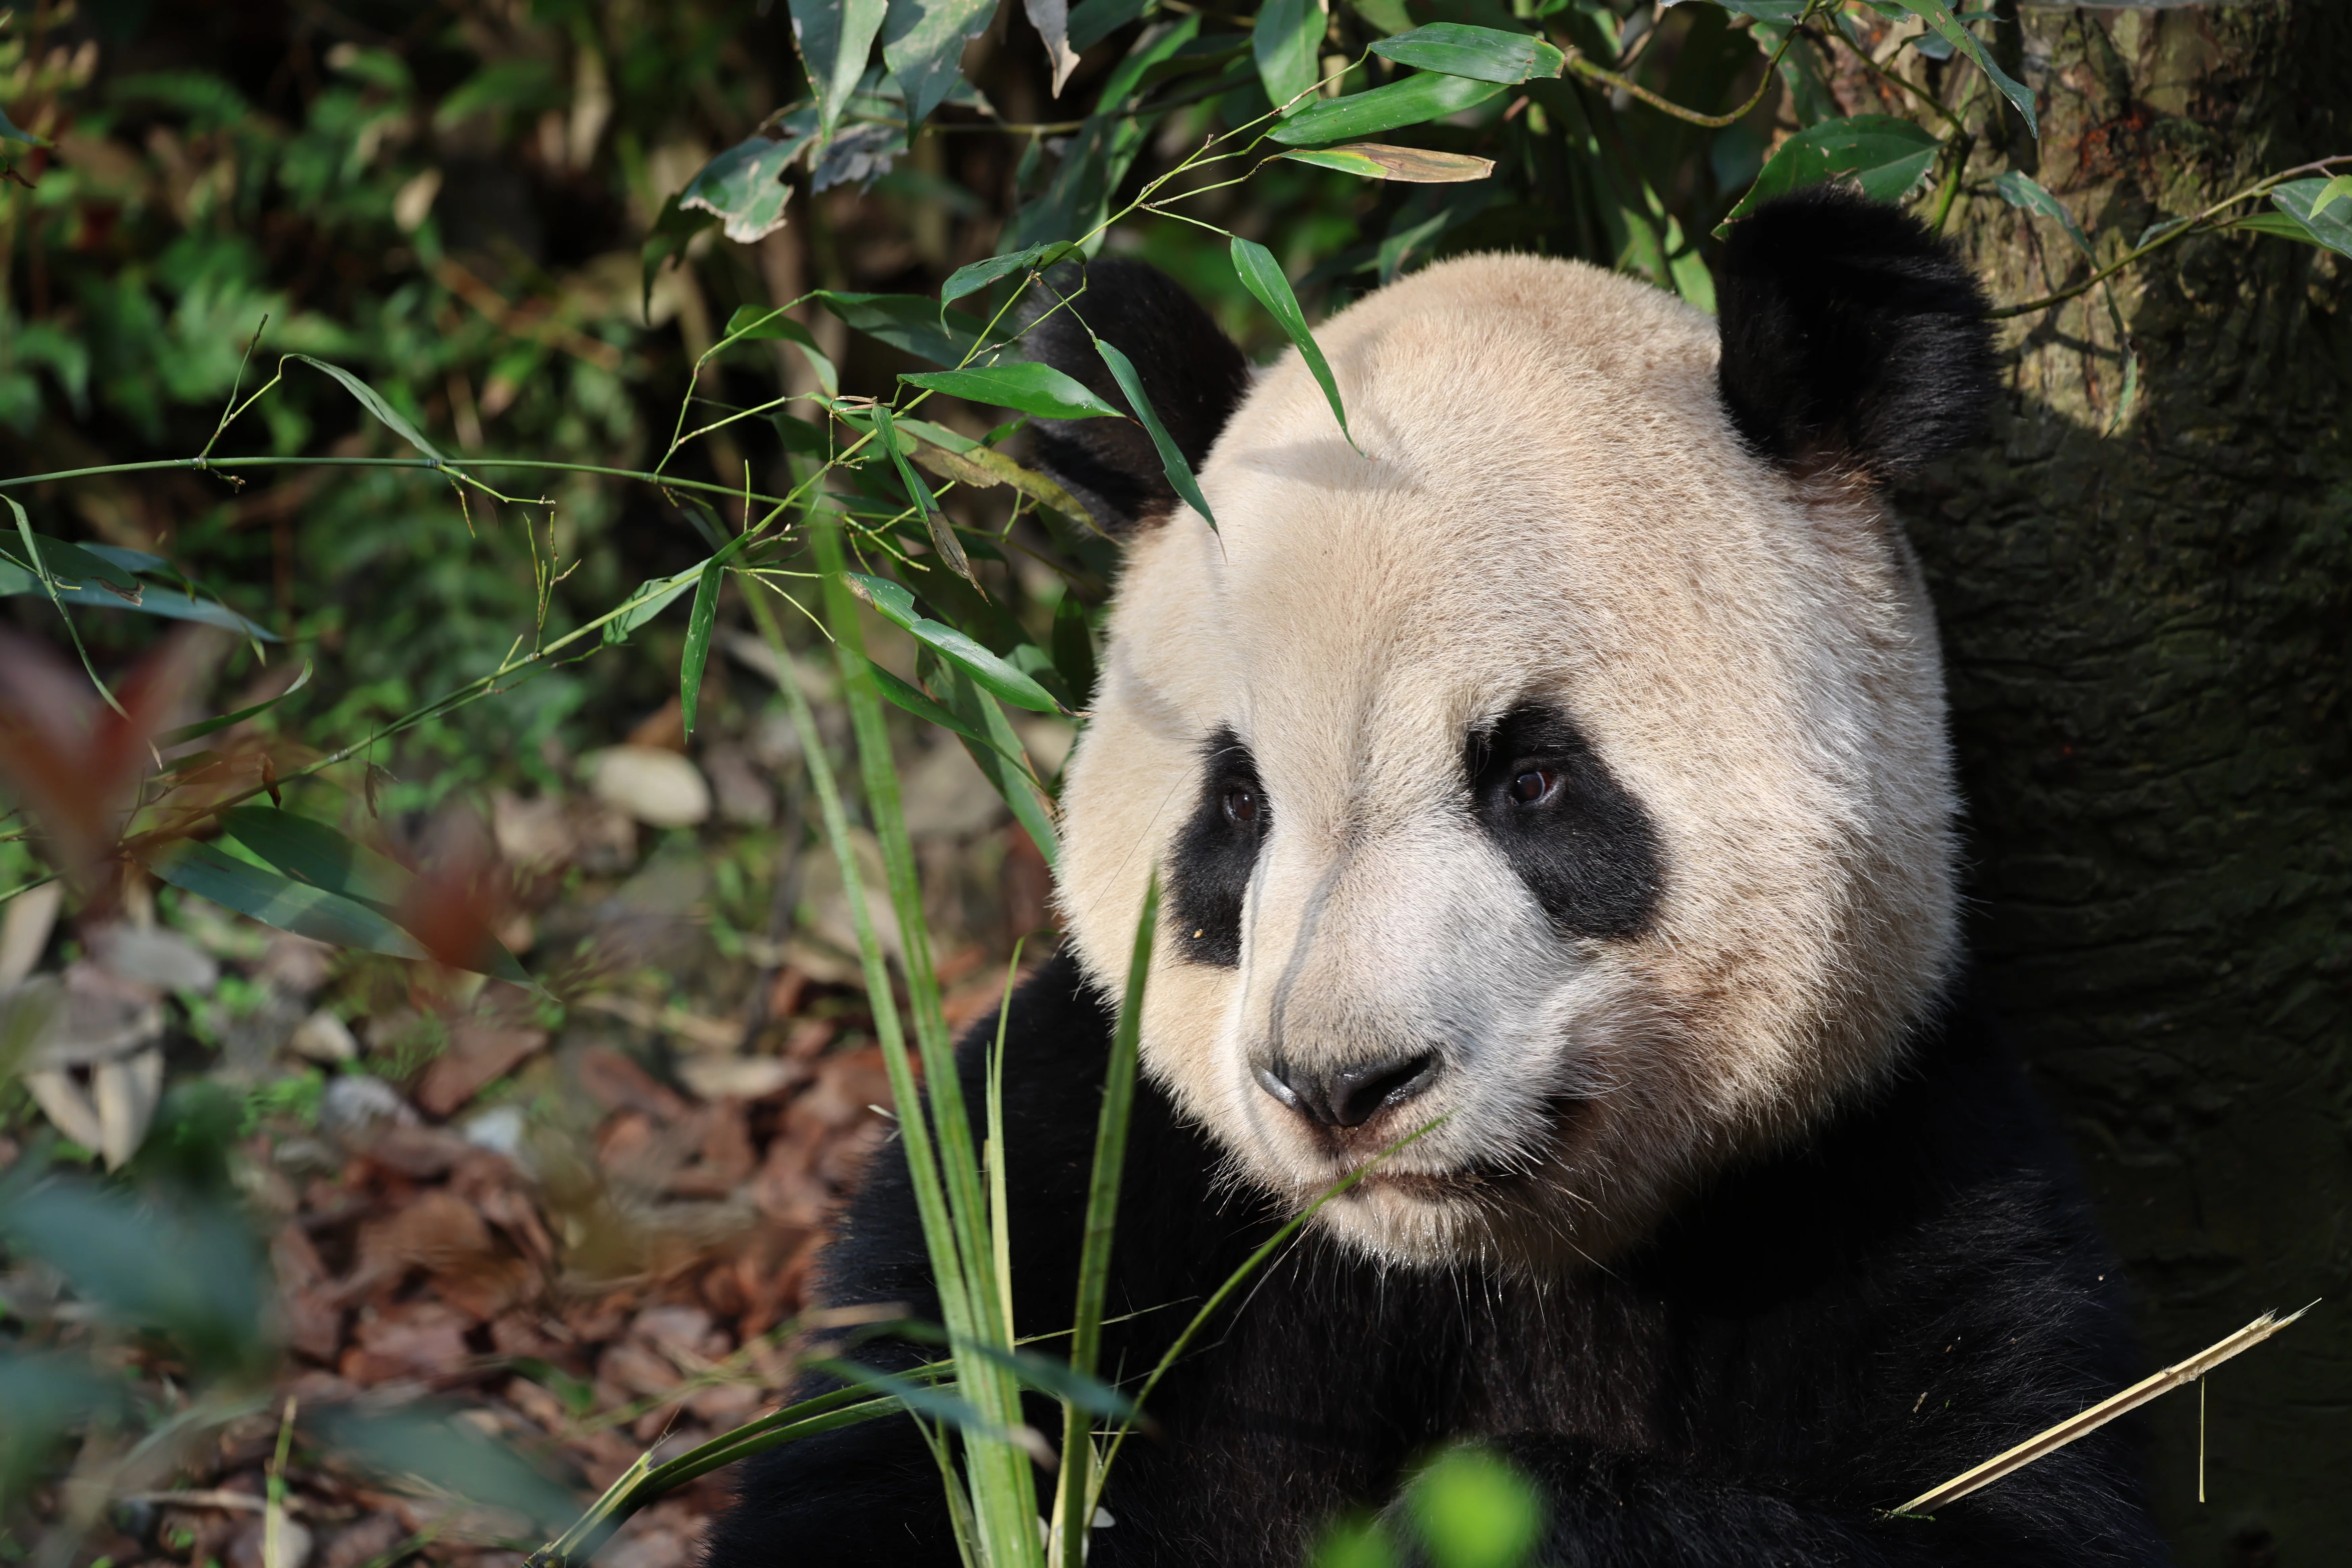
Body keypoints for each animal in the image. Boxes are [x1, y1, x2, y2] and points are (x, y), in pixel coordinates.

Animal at [702, 190, 2167, 1567]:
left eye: (1533, 780)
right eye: (1240, 805)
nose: (1342, 1087)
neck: (1466, 1268)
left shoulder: (1889, 1156)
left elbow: (2020, 1507)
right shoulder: (1068, 1172)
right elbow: (884, 1463)